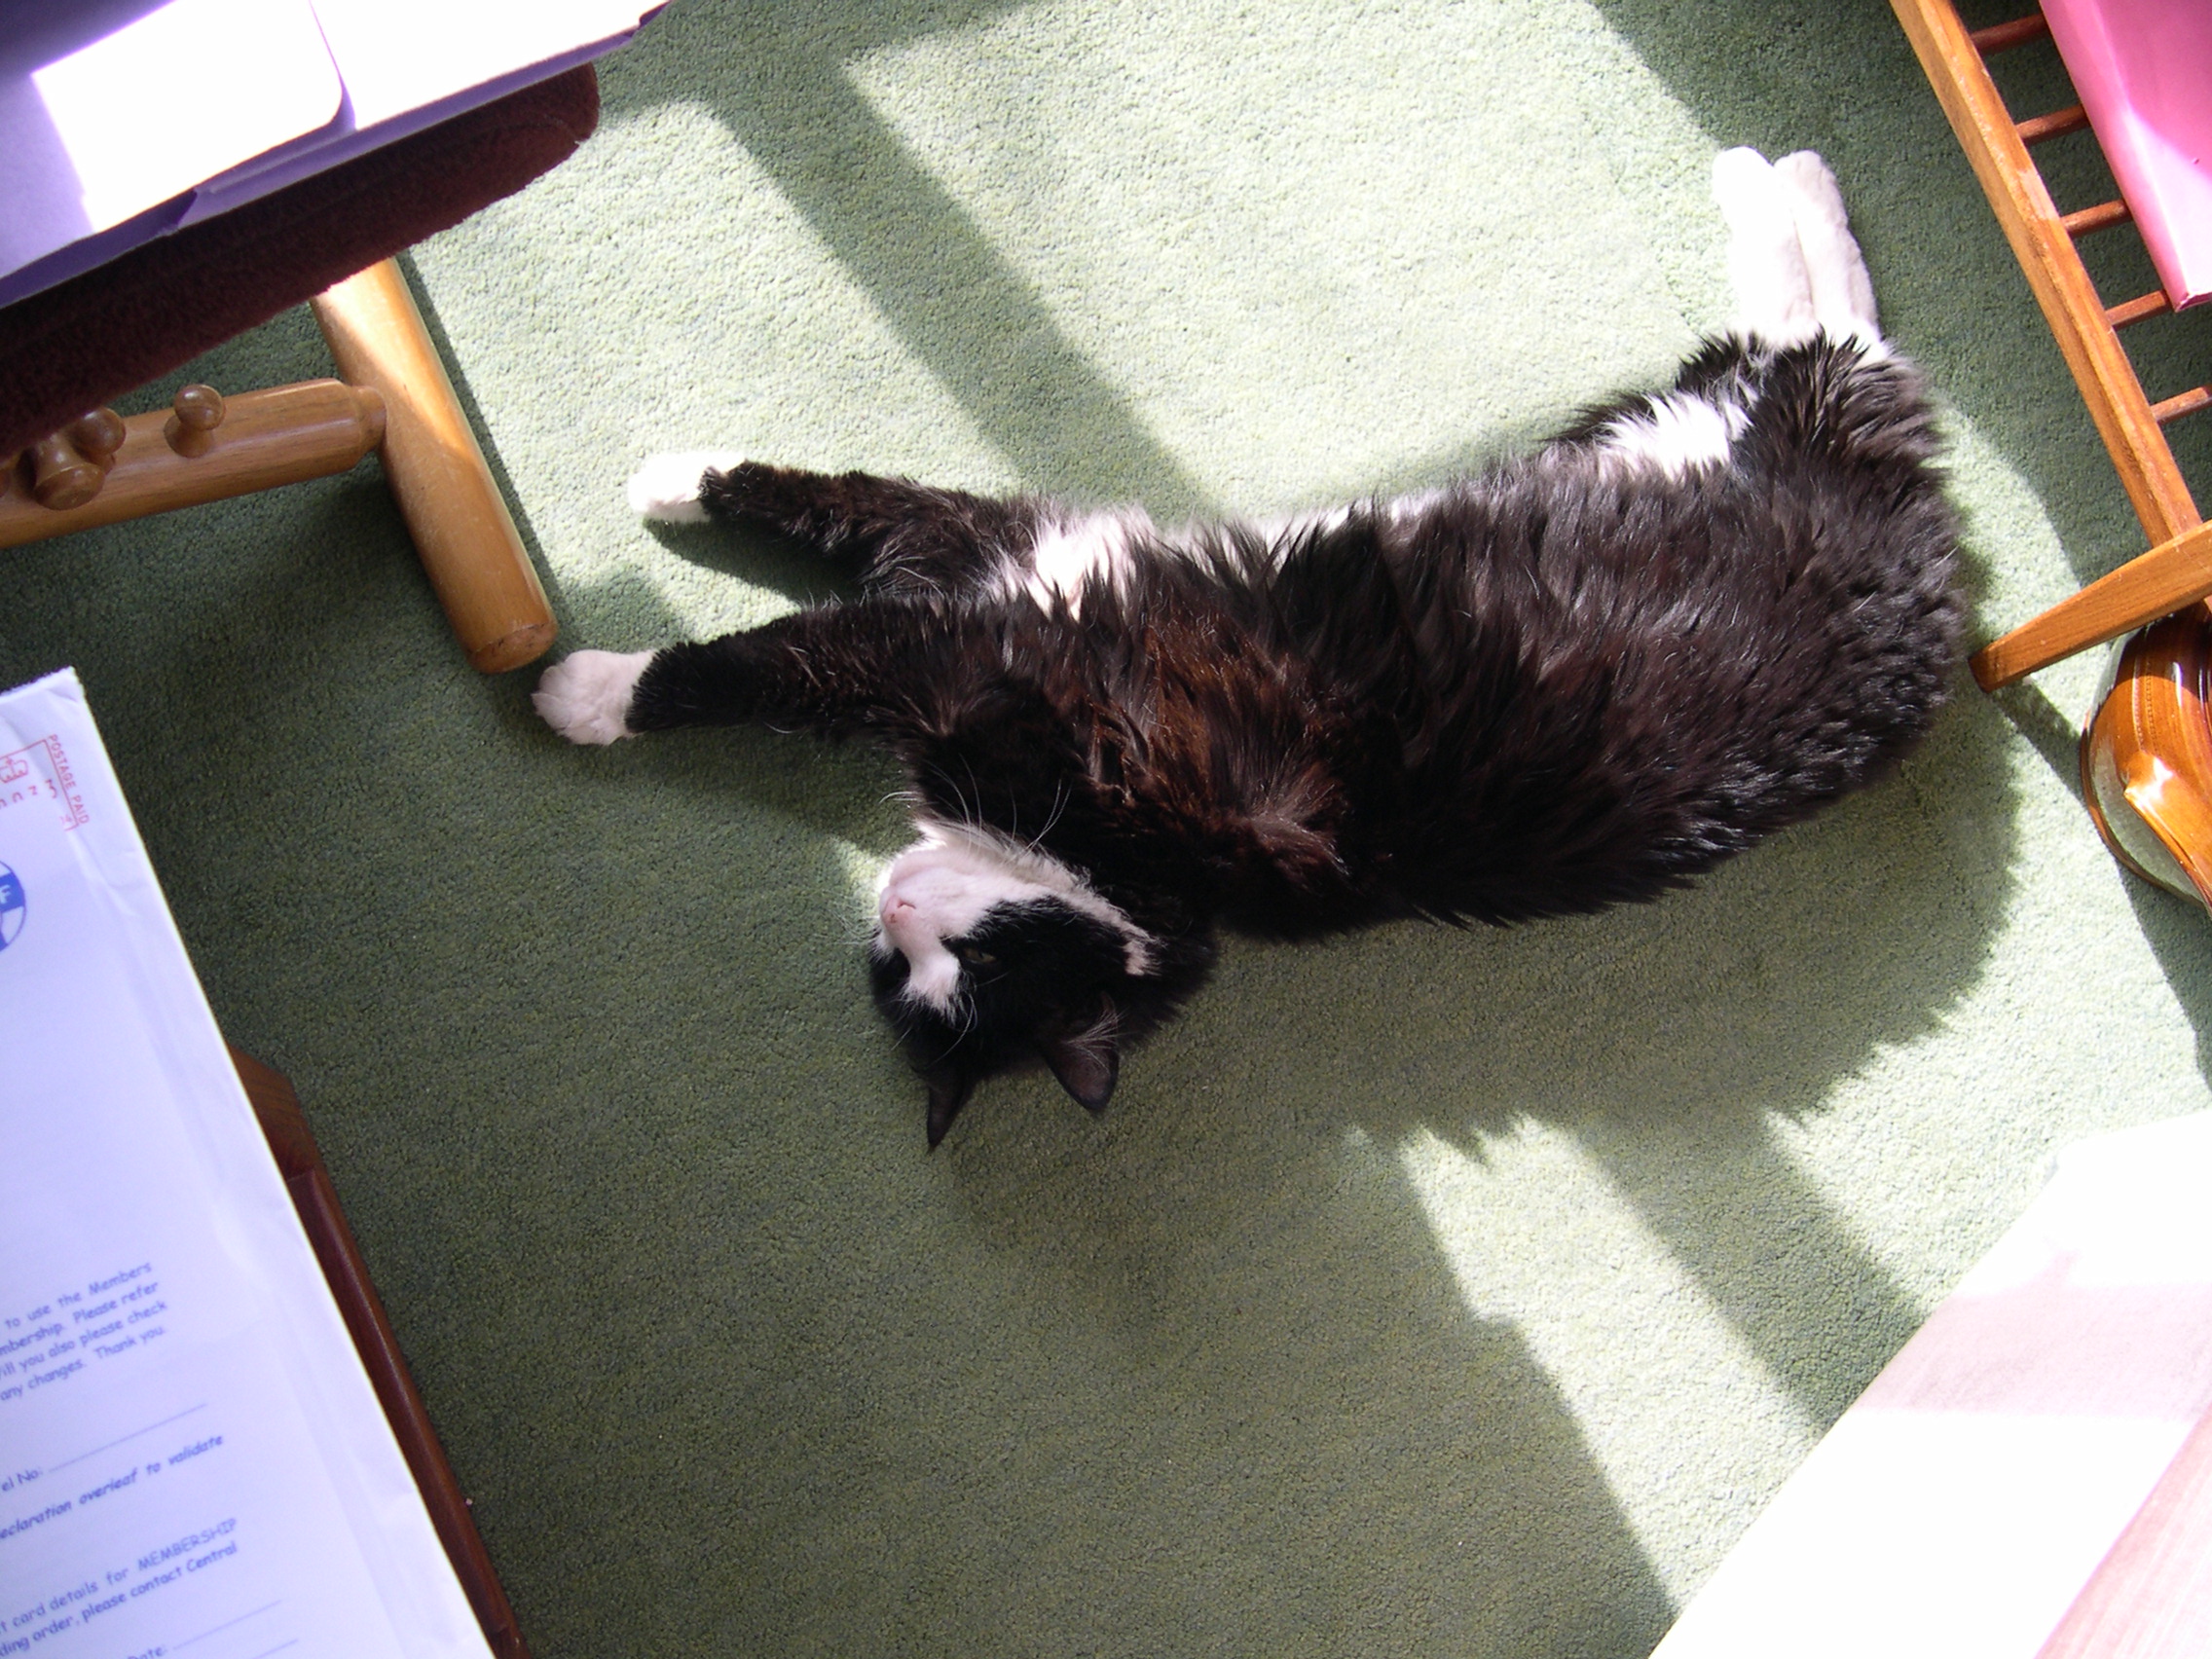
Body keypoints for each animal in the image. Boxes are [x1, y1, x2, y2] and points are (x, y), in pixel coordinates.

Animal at [534, 148, 1961, 1147]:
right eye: (905, 969)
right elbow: (815, 493)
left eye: (967, 973)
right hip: (1676, 421)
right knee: (1826, 325)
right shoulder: (978, 546)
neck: (1121, 874)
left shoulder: (959, 649)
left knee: (1834, 336)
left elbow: (758, 658)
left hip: (1756, 432)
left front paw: (586, 689)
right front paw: (672, 483)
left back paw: (1769, 174)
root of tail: (1931, 569)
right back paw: (1780, 173)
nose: (887, 909)